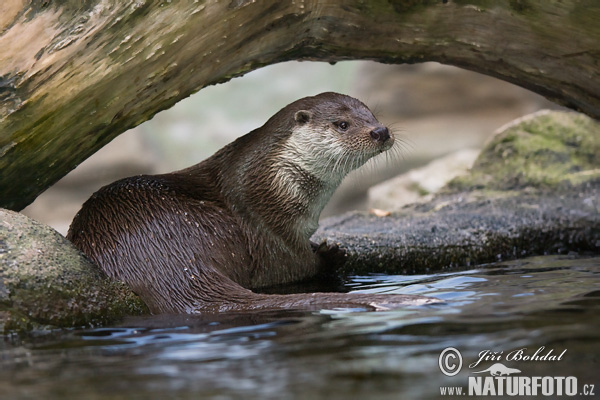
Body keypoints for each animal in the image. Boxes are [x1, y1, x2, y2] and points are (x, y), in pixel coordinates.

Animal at [68, 92, 436, 314]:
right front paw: (331, 253)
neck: (272, 183)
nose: (380, 131)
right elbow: (291, 267)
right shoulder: (267, 228)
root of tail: (170, 265)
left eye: (372, 114)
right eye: (342, 124)